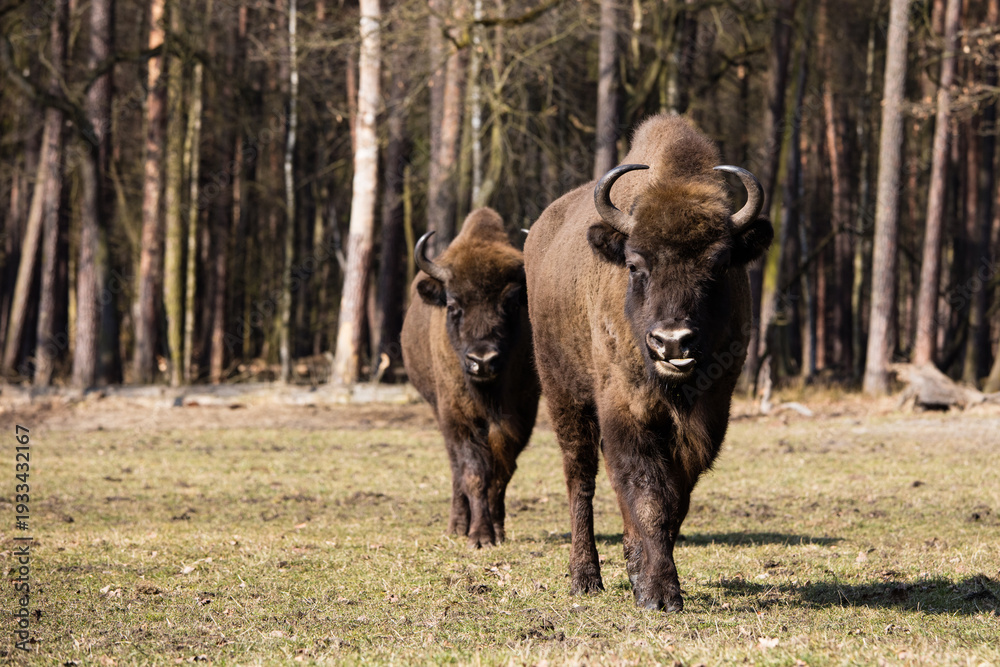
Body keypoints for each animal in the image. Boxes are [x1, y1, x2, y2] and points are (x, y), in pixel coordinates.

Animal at [401, 207, 541, 548]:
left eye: (511, 303)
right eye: (453, 305)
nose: (483, 360)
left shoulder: (521, 414)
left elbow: (502, 471)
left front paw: (496, 532)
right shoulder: (457, 415)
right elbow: (473, 472)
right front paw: (479, 536)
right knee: (455, 468)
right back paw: (457, 525)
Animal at [523, 115, 773, 611]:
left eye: (719, 264)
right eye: (636, 265)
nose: (672, 342)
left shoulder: (708, 416)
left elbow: (674, 497)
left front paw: (646, 575)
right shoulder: (627, 409)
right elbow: (647, 493)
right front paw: (658, 593)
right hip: (564, 396)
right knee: (580, 477)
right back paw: (585, 577)